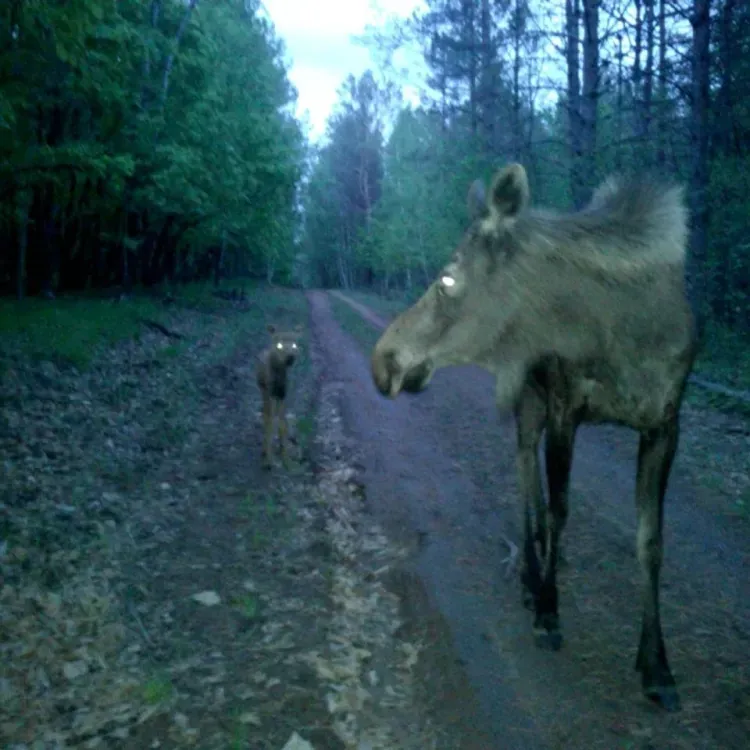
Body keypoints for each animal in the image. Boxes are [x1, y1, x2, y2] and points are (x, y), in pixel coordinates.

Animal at [256, 324, 302, 470]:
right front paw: (269, 461)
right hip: (264, 391)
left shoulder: (283, 395)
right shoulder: (270, 393)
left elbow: (283, 424)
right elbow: (270, 423)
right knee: (266, 415)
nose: (290, 358)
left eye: (294, 344)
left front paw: (287, 460)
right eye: (279, 345)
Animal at [370, 162, 700, 712]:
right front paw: (548, 609)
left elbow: (651, 541)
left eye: (447, 278)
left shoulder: (664, 425)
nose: (383, 359)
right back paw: (530, 573)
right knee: (526, 474)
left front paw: (657, 665)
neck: (623, 338)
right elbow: (558, 510)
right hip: (530, 401)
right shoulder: (566, 406)